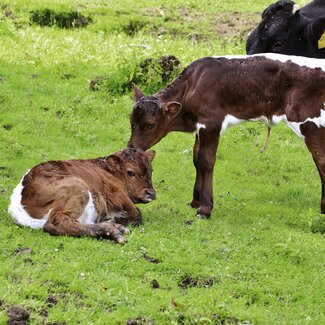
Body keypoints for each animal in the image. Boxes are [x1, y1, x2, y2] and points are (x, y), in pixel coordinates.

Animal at [8, 148, 156, 242]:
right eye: (131, 172)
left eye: (151, 170)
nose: (151, 193)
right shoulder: (119, 197)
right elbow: (137, 214)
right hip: (77, 186)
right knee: (57, 223)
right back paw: (113, 229)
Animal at [128, 53, 324, 218]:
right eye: (131, 121)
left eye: (150, 124)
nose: (132, 147)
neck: (192, 85)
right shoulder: (200, 125)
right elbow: (196, 159)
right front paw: (195, 201)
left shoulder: (211, 122)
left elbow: (206, 161)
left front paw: (205, 209)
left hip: (308, 122)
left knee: (320, 159)